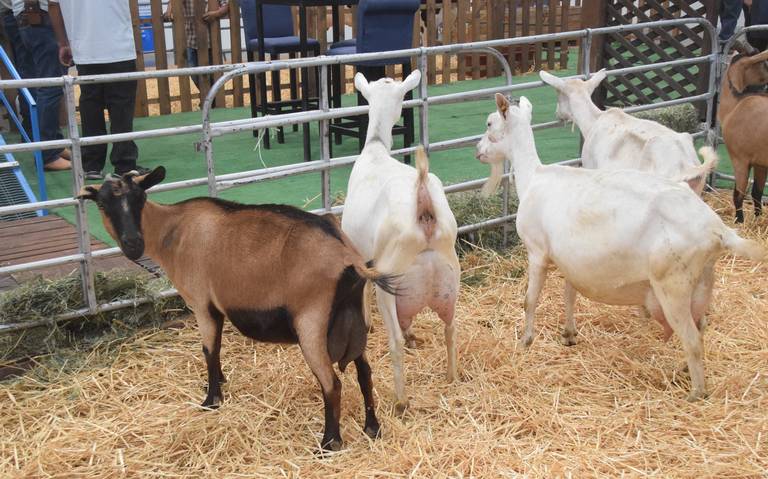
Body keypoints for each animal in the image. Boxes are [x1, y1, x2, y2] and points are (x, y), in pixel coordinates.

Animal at [76, 167, 396, 452]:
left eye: (140, 198)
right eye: (102, 203)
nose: (132, 244)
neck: (173, 230)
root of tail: (349, 260)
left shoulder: (202, 303)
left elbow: (209, 349)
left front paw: (211, 400)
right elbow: (215, 349)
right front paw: (220, 382)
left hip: (311, 323)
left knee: (332, 384)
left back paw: (329, 444)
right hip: (355, 319)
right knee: (364, 372)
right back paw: (372, 428)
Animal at [344, 70, 462, 412]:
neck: (375, 146)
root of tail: (423, 206)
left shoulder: (361, 254)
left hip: (391, 283)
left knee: (395, 340)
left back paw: (401, 400)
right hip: (450, 276)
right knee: (451, 329)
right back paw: (451, 377)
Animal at [476, 94, 764, 402]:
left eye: (490, 123)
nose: (477, 150)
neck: (532, 177)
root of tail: (717, 229)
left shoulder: (537, 251)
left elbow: (529, 300)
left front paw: (525, 341)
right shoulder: (570, 260)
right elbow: (569, 295)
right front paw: (569, 334)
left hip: (672, 285)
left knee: (691, 339)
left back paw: (696, 393)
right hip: (701, 283)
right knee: (701, 328)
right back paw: (685, 371)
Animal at [716, 42, 768, 222]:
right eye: (764, 64)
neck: (736, 104)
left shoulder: (739, 159)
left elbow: (738, 194)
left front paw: (739, 221)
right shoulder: (760, 163)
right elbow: (757, 192)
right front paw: (757, 219)